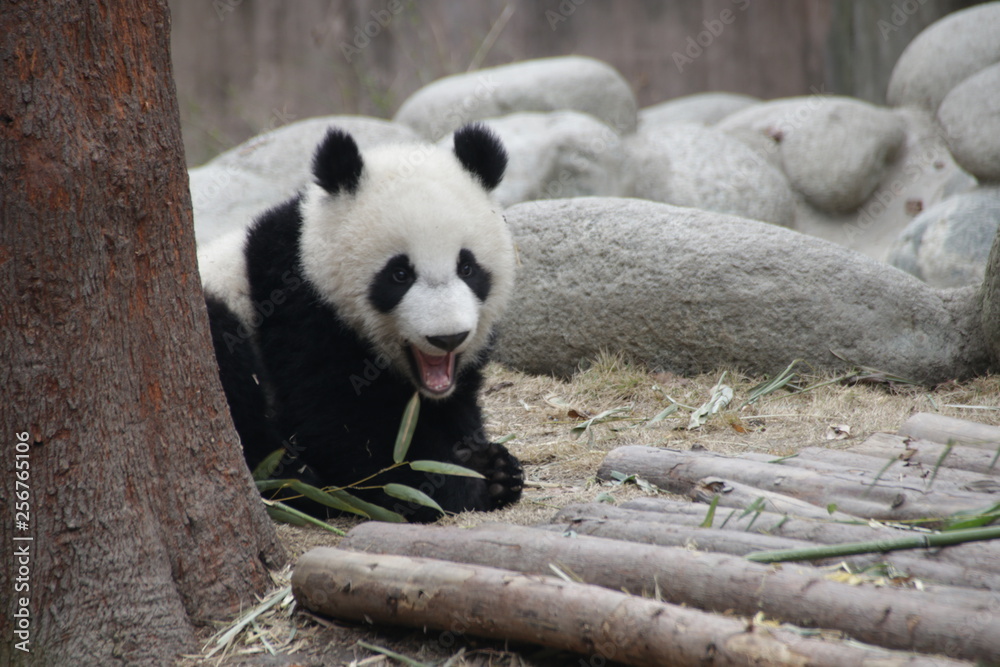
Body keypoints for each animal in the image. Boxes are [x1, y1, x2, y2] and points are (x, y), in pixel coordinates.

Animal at [198, 123, 523, 522]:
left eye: (467, 267)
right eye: (399, 274)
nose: (448, 337)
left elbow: (452, 407)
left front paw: (493, 468)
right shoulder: (300, 315)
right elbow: (343, 428)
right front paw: (448, 485)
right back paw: (299, 484)